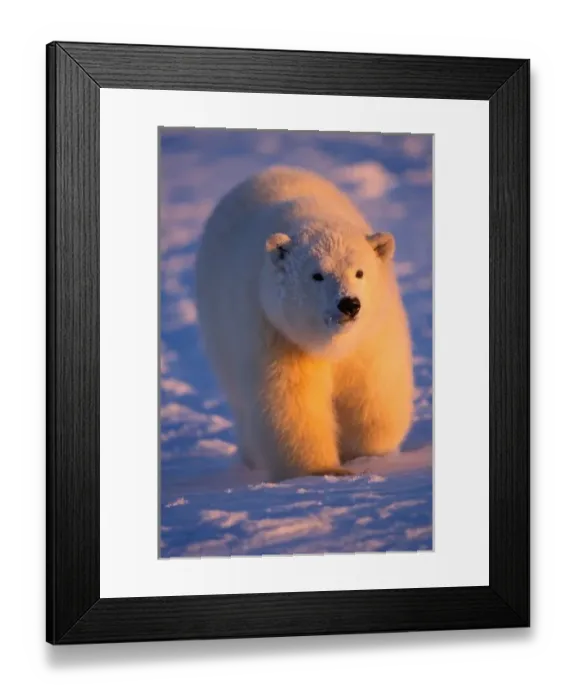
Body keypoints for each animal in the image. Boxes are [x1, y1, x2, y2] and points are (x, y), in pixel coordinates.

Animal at [195, 166, 414, 481]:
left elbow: (372, 386)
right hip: (218, 330)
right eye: (317, 275)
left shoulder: (370, 334)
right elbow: (291, 399)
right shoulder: (275, 331)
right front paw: (322, 470)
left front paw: (369, 457)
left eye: (359, 272)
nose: (349, 304)